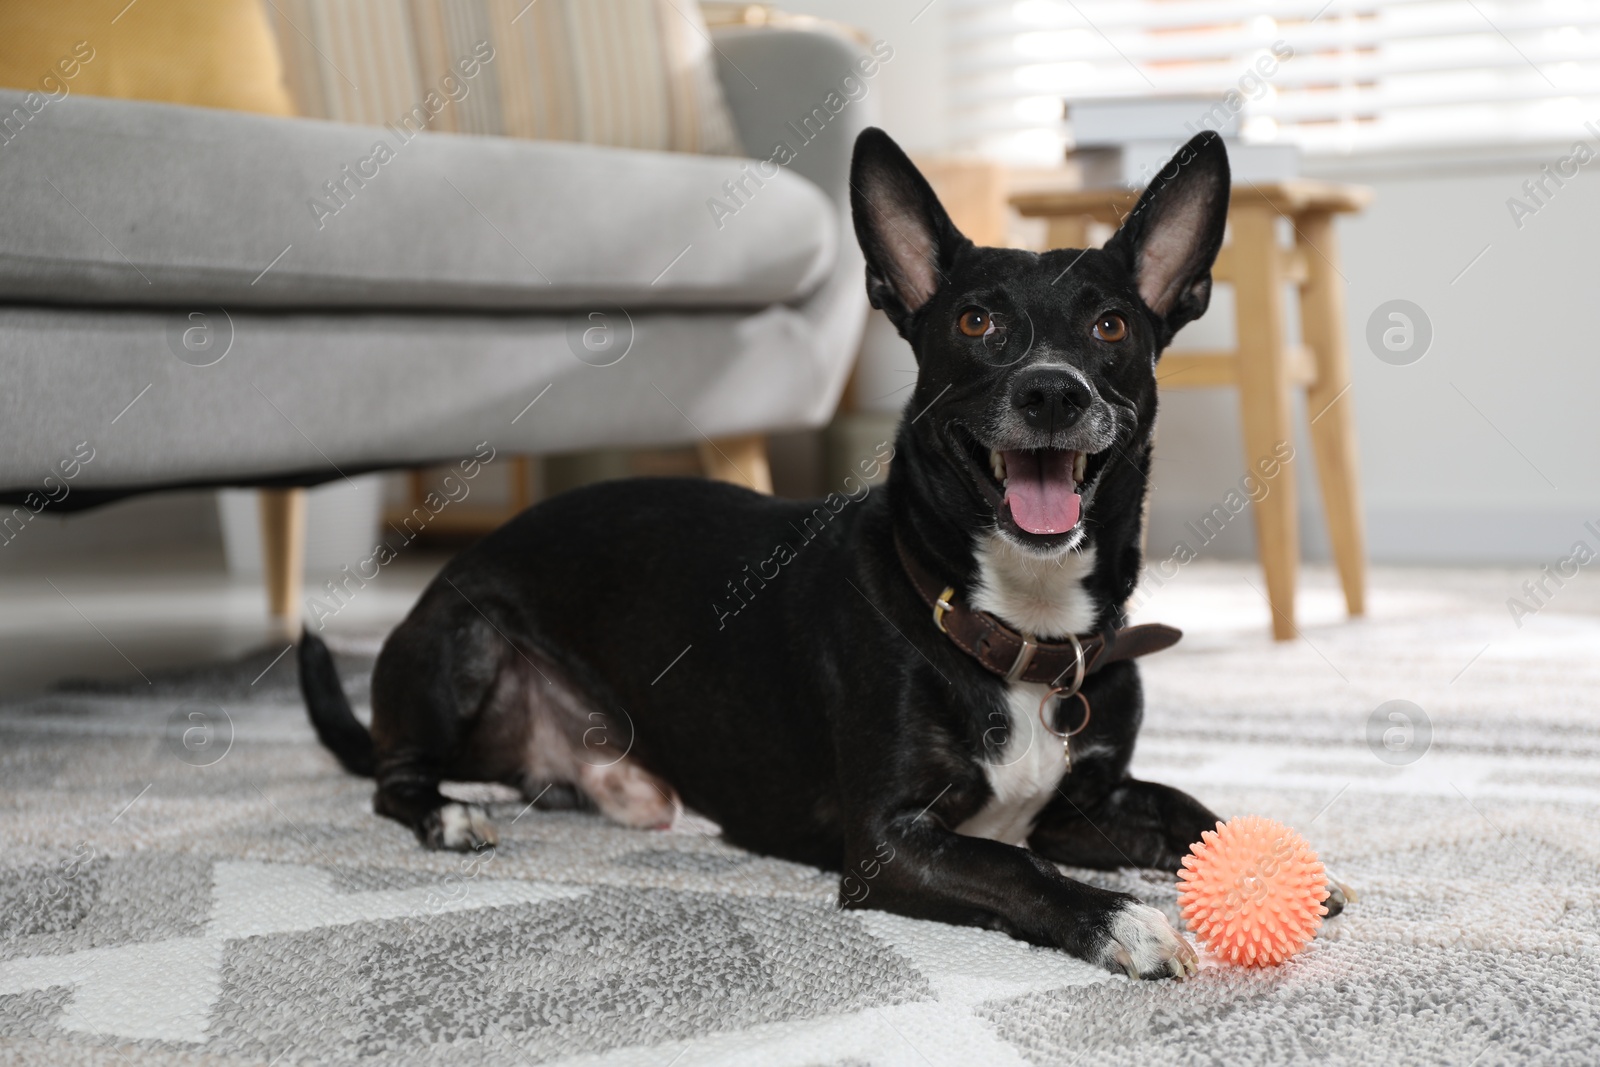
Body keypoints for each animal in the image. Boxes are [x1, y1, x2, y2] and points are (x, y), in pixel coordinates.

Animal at [297, 127, 1337, 979]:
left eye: (1111, 324)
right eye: (977, 321)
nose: (1051, 392)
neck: (1013, 626)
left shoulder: (1088, 801)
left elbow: (1184, 806)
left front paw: (1274, 861)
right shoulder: (889, 844)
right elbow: (1017, 866)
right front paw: (1125, 919)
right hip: (464, 643)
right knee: (392, 776)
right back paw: (446, 811)